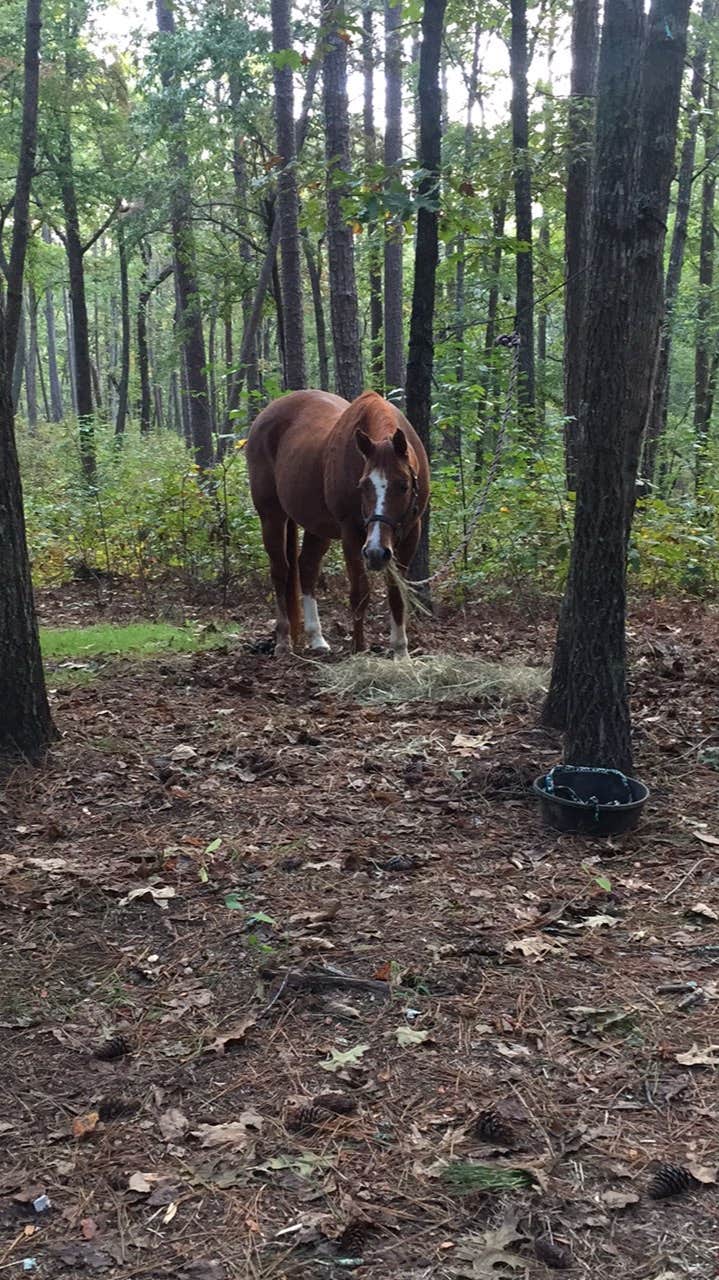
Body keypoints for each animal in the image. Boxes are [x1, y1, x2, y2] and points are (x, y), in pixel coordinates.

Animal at [243, 389, 427, 660]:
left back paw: (316, 637)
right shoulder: (351, 533)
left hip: (318, 527)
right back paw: (283, 641)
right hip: (271, 516)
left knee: (307, 567)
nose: (375, 552)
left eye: (403, 485)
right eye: (363, 485)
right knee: (280, 571)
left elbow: (397, 594)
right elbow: (360, 592)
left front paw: (400, 652)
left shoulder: (411, 533)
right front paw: (359, 649)